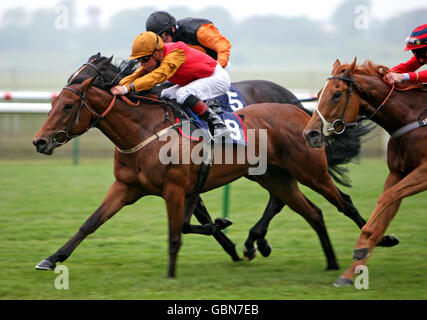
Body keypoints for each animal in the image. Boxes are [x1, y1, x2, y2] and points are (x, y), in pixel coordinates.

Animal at [32, 55, 398, 278]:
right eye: (54, 102)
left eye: (68, 105)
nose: (39, 142)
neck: (145, 130)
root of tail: (297, 108)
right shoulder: (126, 188)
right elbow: (91, 223)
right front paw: (52, 258)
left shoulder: (176, 189)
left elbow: (177, 232)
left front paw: (178, 270)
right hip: (275, 177)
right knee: (309, 211)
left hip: (311, 172)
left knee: (342, 203)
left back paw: (379, 241)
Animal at [304, 58, 427, 288]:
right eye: (318, 93)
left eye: (337, 94)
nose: (310, 134)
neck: (412, 117)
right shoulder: (397, 173)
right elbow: (386, 208)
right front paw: (350, 272)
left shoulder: (424, 172)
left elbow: (385, 198)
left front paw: (363, 242)